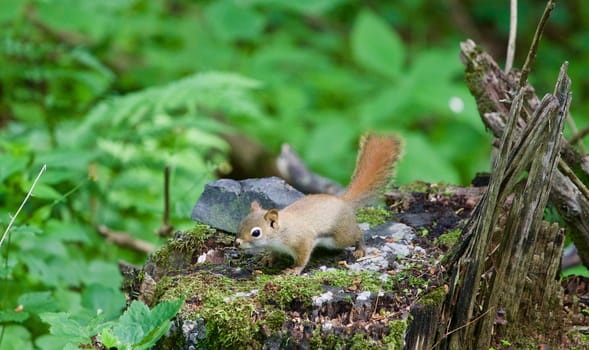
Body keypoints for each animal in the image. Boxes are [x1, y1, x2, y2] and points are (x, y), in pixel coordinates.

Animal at [234, 133, 400, 274]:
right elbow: (274, 253)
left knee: (358, 234)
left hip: (340, 237)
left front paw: (294, 270)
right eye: (240, 224)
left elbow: (302, 258)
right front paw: (268, 258)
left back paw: (360, 249)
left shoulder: (302, 241)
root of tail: (342, 201)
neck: (280, 232)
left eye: (256, 233)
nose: (237, 243)